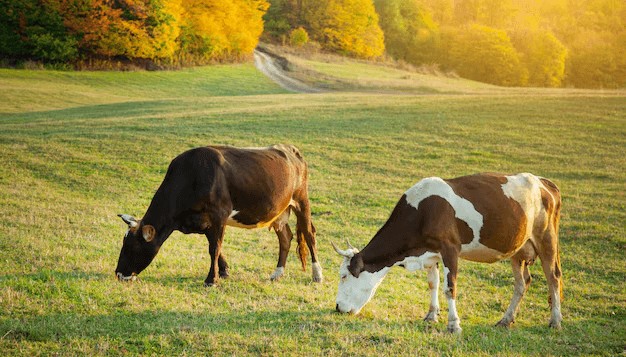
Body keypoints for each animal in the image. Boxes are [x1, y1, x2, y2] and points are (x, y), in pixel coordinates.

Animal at [114, 143, 324, 286]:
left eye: (131, 247)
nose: (118, 274)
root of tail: (288, 148)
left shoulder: (219, 214)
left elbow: (214, 248)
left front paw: (211, 279)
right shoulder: (204, 221)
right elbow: (216, 247)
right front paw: (223, 271)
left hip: (301, 199)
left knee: (309, 234)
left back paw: (317, 274)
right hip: (279, 211)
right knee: (286, 237)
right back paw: (277, 273)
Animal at [334, 172, 564, 330]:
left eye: (344, 276)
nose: (337, 307)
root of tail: (545, 182)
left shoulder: (450, 249)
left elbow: (449, 287)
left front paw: (453, 324)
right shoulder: (430, 253)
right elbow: (433, 284)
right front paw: (431, 315)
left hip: (547, 239)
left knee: (553, 277)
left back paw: (555, 320)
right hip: (518, 249)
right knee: (522, 282)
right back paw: (506, 320)